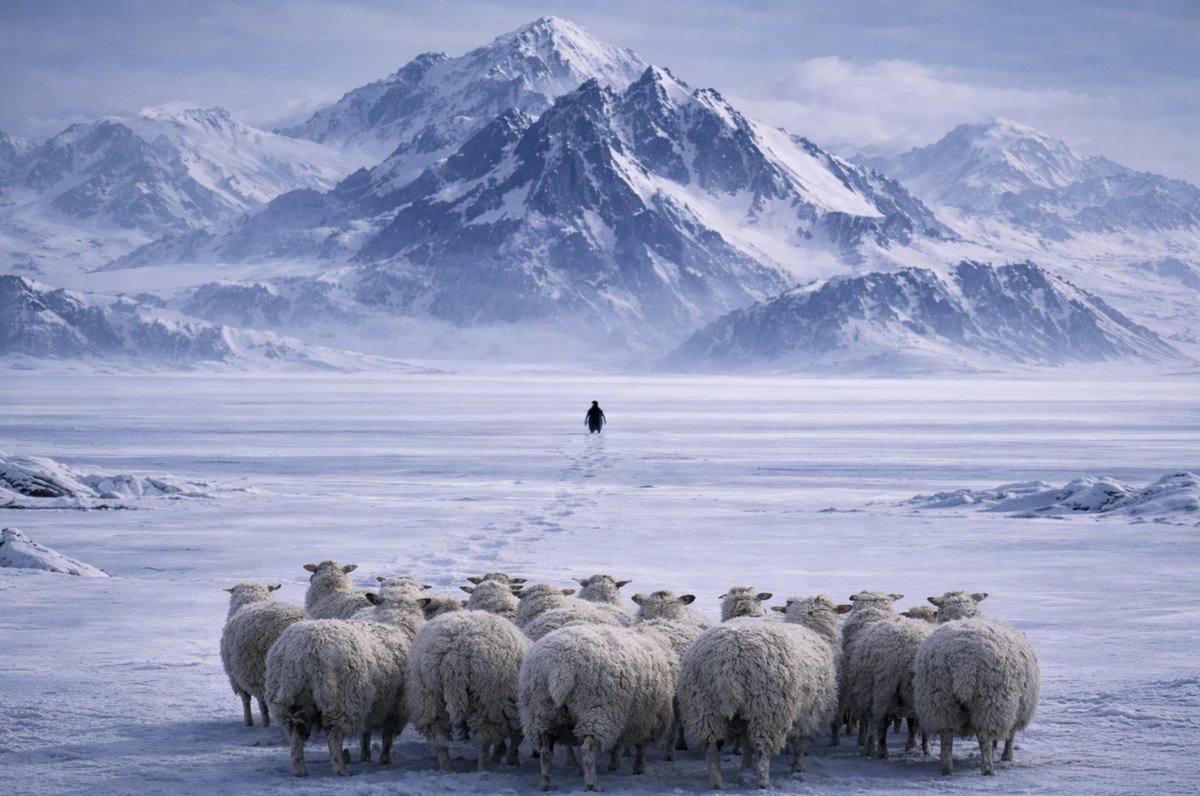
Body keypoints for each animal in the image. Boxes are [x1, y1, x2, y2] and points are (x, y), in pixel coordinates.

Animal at [264, 588, 425, 777]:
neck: (396, 623)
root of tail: (301, 652)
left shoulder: (371, 705)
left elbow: (365, 733)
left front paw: (365, 755)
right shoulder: (395, 707)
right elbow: (387, 737)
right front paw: (384, 759)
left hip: (290, 704)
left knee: (296, 736)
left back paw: (299, 769)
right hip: (340, 701)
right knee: (334, 736)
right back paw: (341, 768)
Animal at [406, 610, 531, 772]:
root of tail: (454, 655)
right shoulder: (514, 712)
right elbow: (516, 739)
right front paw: (510, 759)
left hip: (429, 698)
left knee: (439, 738)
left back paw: (447, 768)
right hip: (487, 701)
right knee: (483, 742)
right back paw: (483, 768)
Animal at [519, 621, 680, 791]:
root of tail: (561, 668)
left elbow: (618, 746)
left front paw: (615, 763)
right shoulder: (648, 720)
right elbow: (641, 747)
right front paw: (638, 768)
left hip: (540, 714)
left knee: (545, 751)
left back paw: (547, 783)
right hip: (598, 712)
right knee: (587, 749)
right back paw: (592, 784)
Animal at [678, 594, 843, 789]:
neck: (811, 628)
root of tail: (728, 659)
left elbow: (745, 742)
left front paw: (746, 765)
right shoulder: (810, 713)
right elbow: (799, 744)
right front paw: (797, 767)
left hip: (704, 706)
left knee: (713, 746)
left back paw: (716, 783)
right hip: (767, 709)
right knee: (763, 748)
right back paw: (763, 782)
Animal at [913, 591, 1040, 776]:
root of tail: (963, 661)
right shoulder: (1019, 707)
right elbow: (1010, 736)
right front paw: (1006, 757)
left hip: (939, 698)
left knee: (946, 733)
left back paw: (946, 768)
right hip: (992, 701)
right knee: (984, 736)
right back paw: (988, 769)